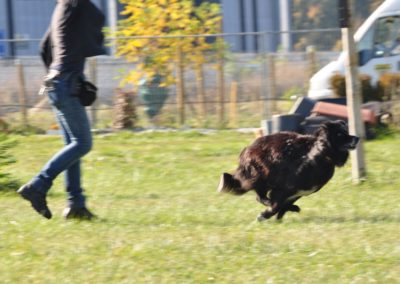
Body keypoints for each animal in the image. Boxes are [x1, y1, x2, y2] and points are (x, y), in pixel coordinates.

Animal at [219, 120, 360, 222]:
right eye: (340, 134)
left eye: (346, 132)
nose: (357, 137)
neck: (321, 153)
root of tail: (248, 148)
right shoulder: (285, 188)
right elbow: (276, 205)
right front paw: (265, 215)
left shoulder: (298, 192)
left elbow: (282, 206)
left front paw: (279, 217)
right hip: (261, 174)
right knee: (260, 196)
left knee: (261, 197)